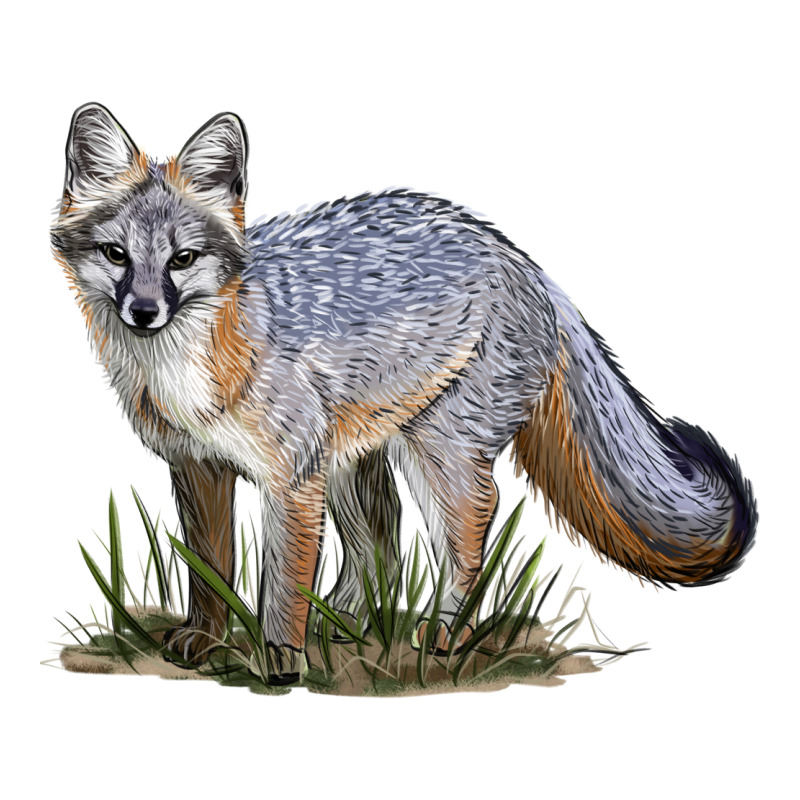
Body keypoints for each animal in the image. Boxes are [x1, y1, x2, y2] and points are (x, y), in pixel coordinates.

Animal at [52, 104, 756, 685]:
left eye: (183, 259)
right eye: (116, 255)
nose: (144, 311)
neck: (190, 372)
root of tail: (518, 255)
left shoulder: (291, 478)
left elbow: (282, 582)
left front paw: (279, 657)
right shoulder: (199, 467)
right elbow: (210, 569)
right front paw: (206, 638)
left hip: (434, 452)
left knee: (471, 523)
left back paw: (442, 631)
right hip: (352, 461)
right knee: (381, 544)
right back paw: (347, 621)